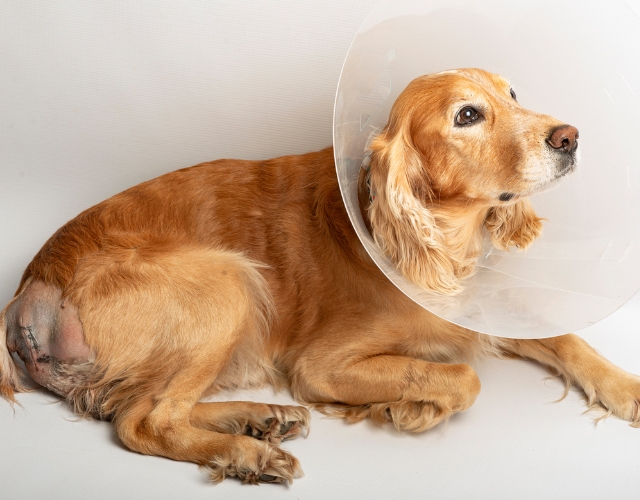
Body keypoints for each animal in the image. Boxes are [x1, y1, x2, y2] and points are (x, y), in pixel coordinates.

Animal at [1, 68, 640, 482]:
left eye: (513, 93)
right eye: (467, 115)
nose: (570, 137)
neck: (435, 244)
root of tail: (31, 286)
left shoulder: (482, 311)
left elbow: (568, 338)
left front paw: (627, 389)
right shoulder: (322, 365)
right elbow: (462, 378)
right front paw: (412, 408)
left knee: (152, 406)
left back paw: (260, 418)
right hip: (228, 280)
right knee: (144, 420)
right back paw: (247, 454)